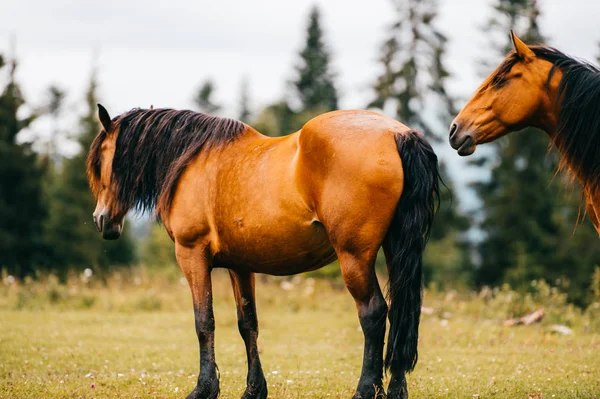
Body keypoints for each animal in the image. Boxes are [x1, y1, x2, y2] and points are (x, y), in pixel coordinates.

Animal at [85, 106, 440, 399]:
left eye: (100, 161)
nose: (101, 220)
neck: (193, 162)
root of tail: (397, 134)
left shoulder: (192, 255)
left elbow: (204, 322)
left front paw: (204, 389)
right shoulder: (241, 266)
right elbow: (248, 324)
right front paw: (253, 390)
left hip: (354, 256)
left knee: (373, 313)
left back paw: (365, 390)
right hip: (394, 250)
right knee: (401, 314)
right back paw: (396, 391)